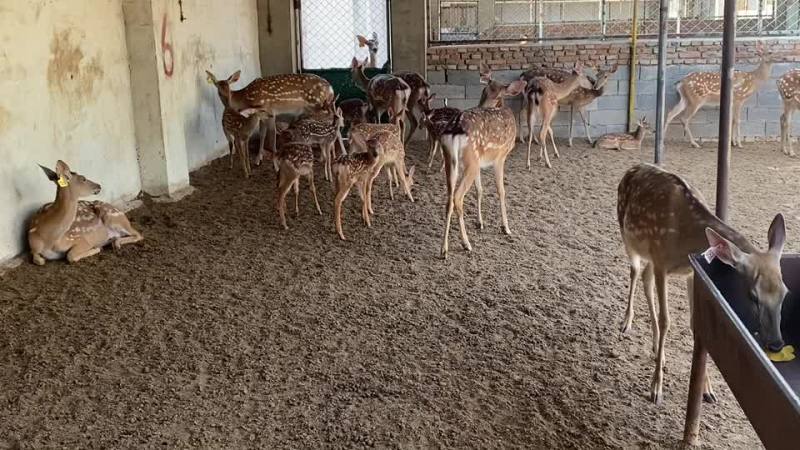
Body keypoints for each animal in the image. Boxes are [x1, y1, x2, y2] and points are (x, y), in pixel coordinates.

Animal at [206, 70, 335, 166]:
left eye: (229, 89)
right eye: (218, 91)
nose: (227, 104)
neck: (246, 98)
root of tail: (331, 89)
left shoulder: (270, 110)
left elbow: (272, 135)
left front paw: (274, 162)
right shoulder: (261, 115)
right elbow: (262, 134)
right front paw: (258, 159)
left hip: (317, 106)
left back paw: (322, 157)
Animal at [438, 67, 527, 258]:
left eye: (487, 90)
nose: (484, 106)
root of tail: (455, 129)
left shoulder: (480, 163)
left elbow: (480, 190)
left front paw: (480, 222)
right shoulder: (500, 157)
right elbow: (501, 191)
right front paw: (506, 227)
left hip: (452, 161)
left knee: (449, 199)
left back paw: (444, 249)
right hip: (470, 161)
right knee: (457, 197)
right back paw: (466, 244)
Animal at [617, 163, 789, 405]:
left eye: (785, 292)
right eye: (753, 296)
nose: (776, 344)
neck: (687, 238)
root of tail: (633, 167)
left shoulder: (690, 271)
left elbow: (694, 323)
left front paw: (707, 389)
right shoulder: (661, 262)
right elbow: (666, 320)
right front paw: (656, 388)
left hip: (648, 254)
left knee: (645, 278)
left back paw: (656, 347)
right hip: (628, 238)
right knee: (634, 273)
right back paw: (627, 323)